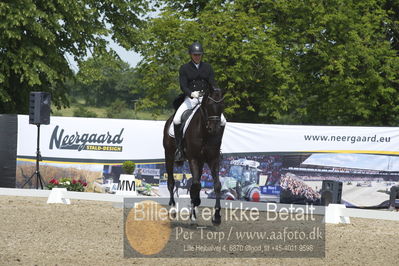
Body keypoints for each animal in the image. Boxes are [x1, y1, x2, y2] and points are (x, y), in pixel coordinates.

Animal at [162, 89, 225, 224]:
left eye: (222, 106)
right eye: (208, 106)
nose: (215, 129)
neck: (204, 132)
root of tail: (169, 119)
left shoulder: (213, 159)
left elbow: (216, 185)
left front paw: (217, 216)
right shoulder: (193, 159)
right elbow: (196, 185)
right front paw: (195, 204)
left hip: (200, 162)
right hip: (169, 155)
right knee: (171, 182)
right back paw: (173, 209)